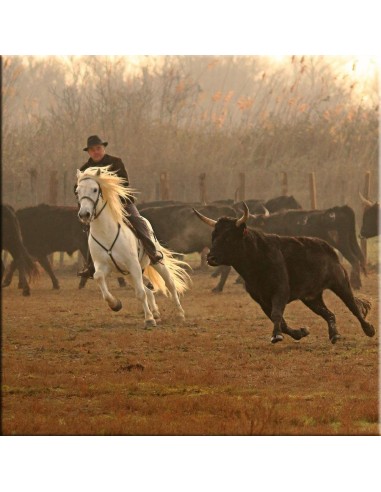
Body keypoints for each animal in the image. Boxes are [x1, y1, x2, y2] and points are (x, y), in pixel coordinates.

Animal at [75, 165, 190, 326]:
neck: (106, 232)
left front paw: (149, 320)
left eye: (95, 189)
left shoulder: (133, 264)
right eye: (77, 191)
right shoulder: (103, 266)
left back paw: (179, 314)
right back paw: (156, 313)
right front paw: (115, 304)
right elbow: (98, 278)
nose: (84, 214)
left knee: (170, 284)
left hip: (155, 263)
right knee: (147, 289)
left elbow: (140, 293)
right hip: (128, 273)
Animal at [193, 204, 374, 346]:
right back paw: (334, 335)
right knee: (329, 314)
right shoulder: (261, 299)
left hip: (340, 283)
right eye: (213, 236)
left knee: (353, 306)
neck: (256, 259)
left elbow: (276, 314)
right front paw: (300, 332)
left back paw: (369, 329)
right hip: (311, 298)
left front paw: (277, 336)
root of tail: (327, 248)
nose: (210, 258)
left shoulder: (280, 292)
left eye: (228, 237)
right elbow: (280, 320)